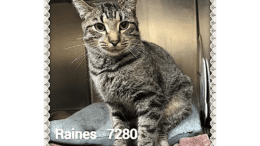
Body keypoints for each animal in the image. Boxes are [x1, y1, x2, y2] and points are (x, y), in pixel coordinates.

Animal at [72, 0, 192, 145]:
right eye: (99, 26)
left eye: (124, 25)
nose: (114, 41)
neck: (110, 68)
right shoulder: (114, 104)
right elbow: (119, 129)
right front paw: (119, 142)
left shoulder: (150, 97)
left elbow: (146, 130)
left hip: (176, 104)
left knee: (161, 128)